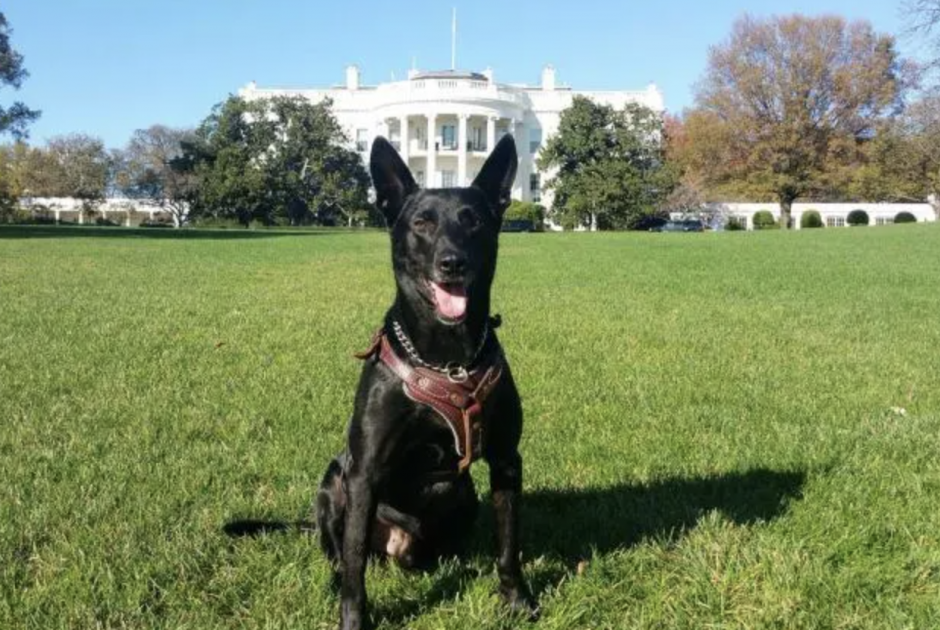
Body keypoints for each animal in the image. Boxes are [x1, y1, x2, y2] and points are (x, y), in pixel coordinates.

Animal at [318, 136, 532, 628]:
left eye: (473, 221)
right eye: (421, 223)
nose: (452, 262)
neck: (446, 358)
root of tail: (401, 548)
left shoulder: (506, 461)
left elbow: (508, 544)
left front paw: (515, 601)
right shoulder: (363, 472)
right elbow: (354, 563)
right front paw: (353, 620)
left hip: (465, 494)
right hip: (334, 481)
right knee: (341, 554)